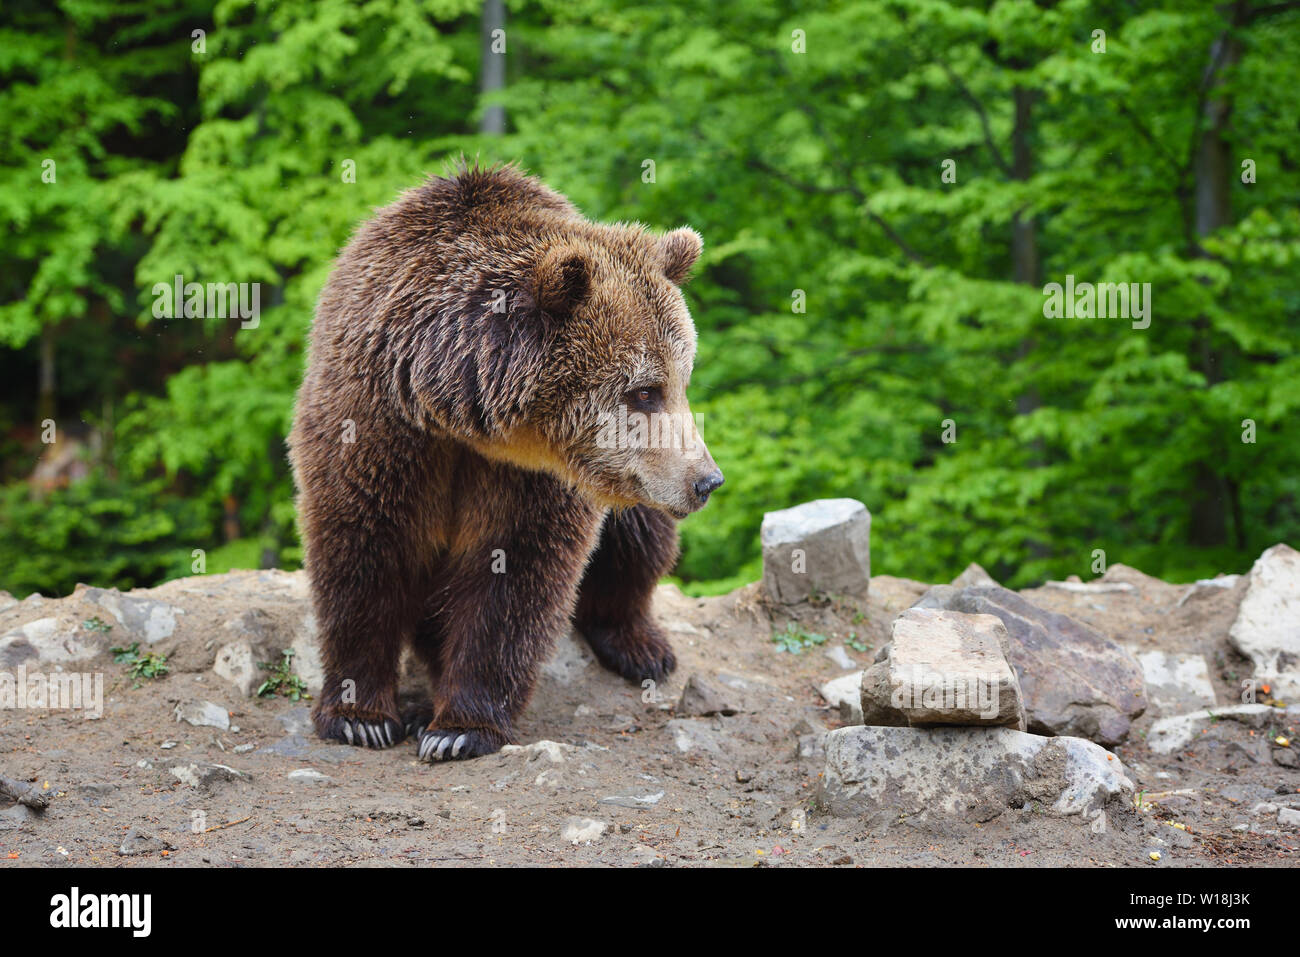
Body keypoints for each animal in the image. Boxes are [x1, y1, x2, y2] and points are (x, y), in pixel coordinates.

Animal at [287, 162, 723, 762]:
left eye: (682, 379)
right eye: (644, 391)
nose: (707, 480)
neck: (451, 410)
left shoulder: (530, 477)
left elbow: (514, 573)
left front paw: (458, 728)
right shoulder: (376, 420)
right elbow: (361, 548)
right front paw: (360, 716)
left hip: (629, 491)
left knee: (638, 539)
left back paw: (640, 646)